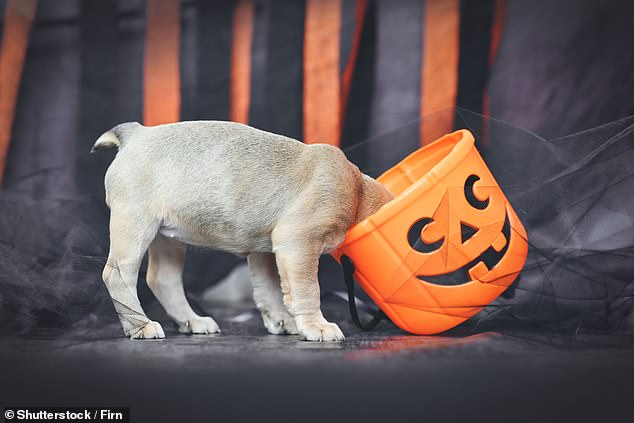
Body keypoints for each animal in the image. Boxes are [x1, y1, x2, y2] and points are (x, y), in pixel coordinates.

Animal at [91, 121, 392, 342]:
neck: (357, 190)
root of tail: (136, 134)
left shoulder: (264, 252)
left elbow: (269, 289)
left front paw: (281, 320)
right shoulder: (298, 244)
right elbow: (308, 289)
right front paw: (315, 325)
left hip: (166, 239)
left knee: (163, 279)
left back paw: (192, 320)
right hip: (135, 226)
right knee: (119, 275)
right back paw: (140, 326)